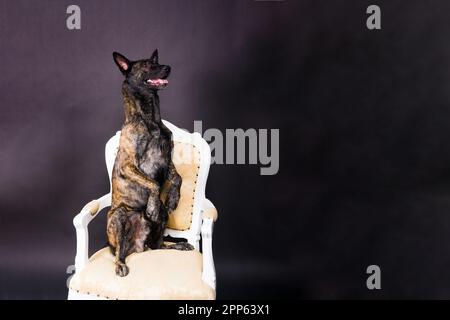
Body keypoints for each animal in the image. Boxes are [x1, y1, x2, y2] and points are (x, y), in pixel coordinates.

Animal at [108, 50, 193, 278]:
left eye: (156, 61)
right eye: (147, 66)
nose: (168, 67)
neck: (149, 119)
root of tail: (136, 246)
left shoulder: (167, 160)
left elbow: (177, 178)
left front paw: (173, 198)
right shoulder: (128, 165)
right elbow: (152, 183)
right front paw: (152, 205)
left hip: (161, 221)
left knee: (158, 245)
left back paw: (180, 245)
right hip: (118, 216)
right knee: (119, 251)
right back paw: (120, 264)